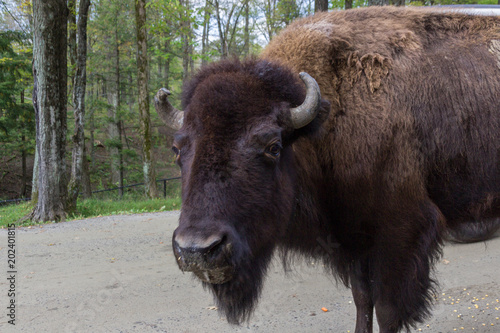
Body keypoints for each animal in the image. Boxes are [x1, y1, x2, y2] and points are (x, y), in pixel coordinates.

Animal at [154, 7, 498, 332]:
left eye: (273, 147)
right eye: (177, 149)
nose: (197, 250)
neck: (326, 119)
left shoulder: (400, 234)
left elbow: (386, 309)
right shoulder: (353, 236)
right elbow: (363, 299)